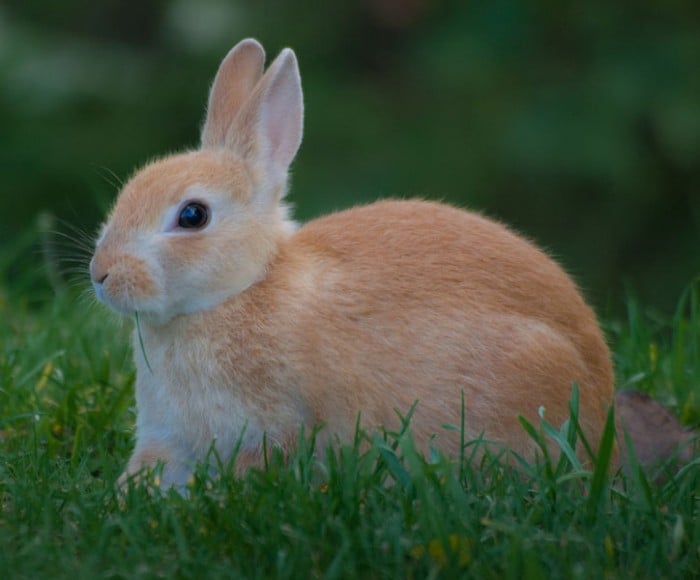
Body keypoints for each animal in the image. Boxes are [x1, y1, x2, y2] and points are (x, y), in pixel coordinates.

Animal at [90, 38, 615, 489]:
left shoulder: (271, 429)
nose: (101, 274)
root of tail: (600, 395)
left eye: (192, 216)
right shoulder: (168, 436)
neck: (241, 290)